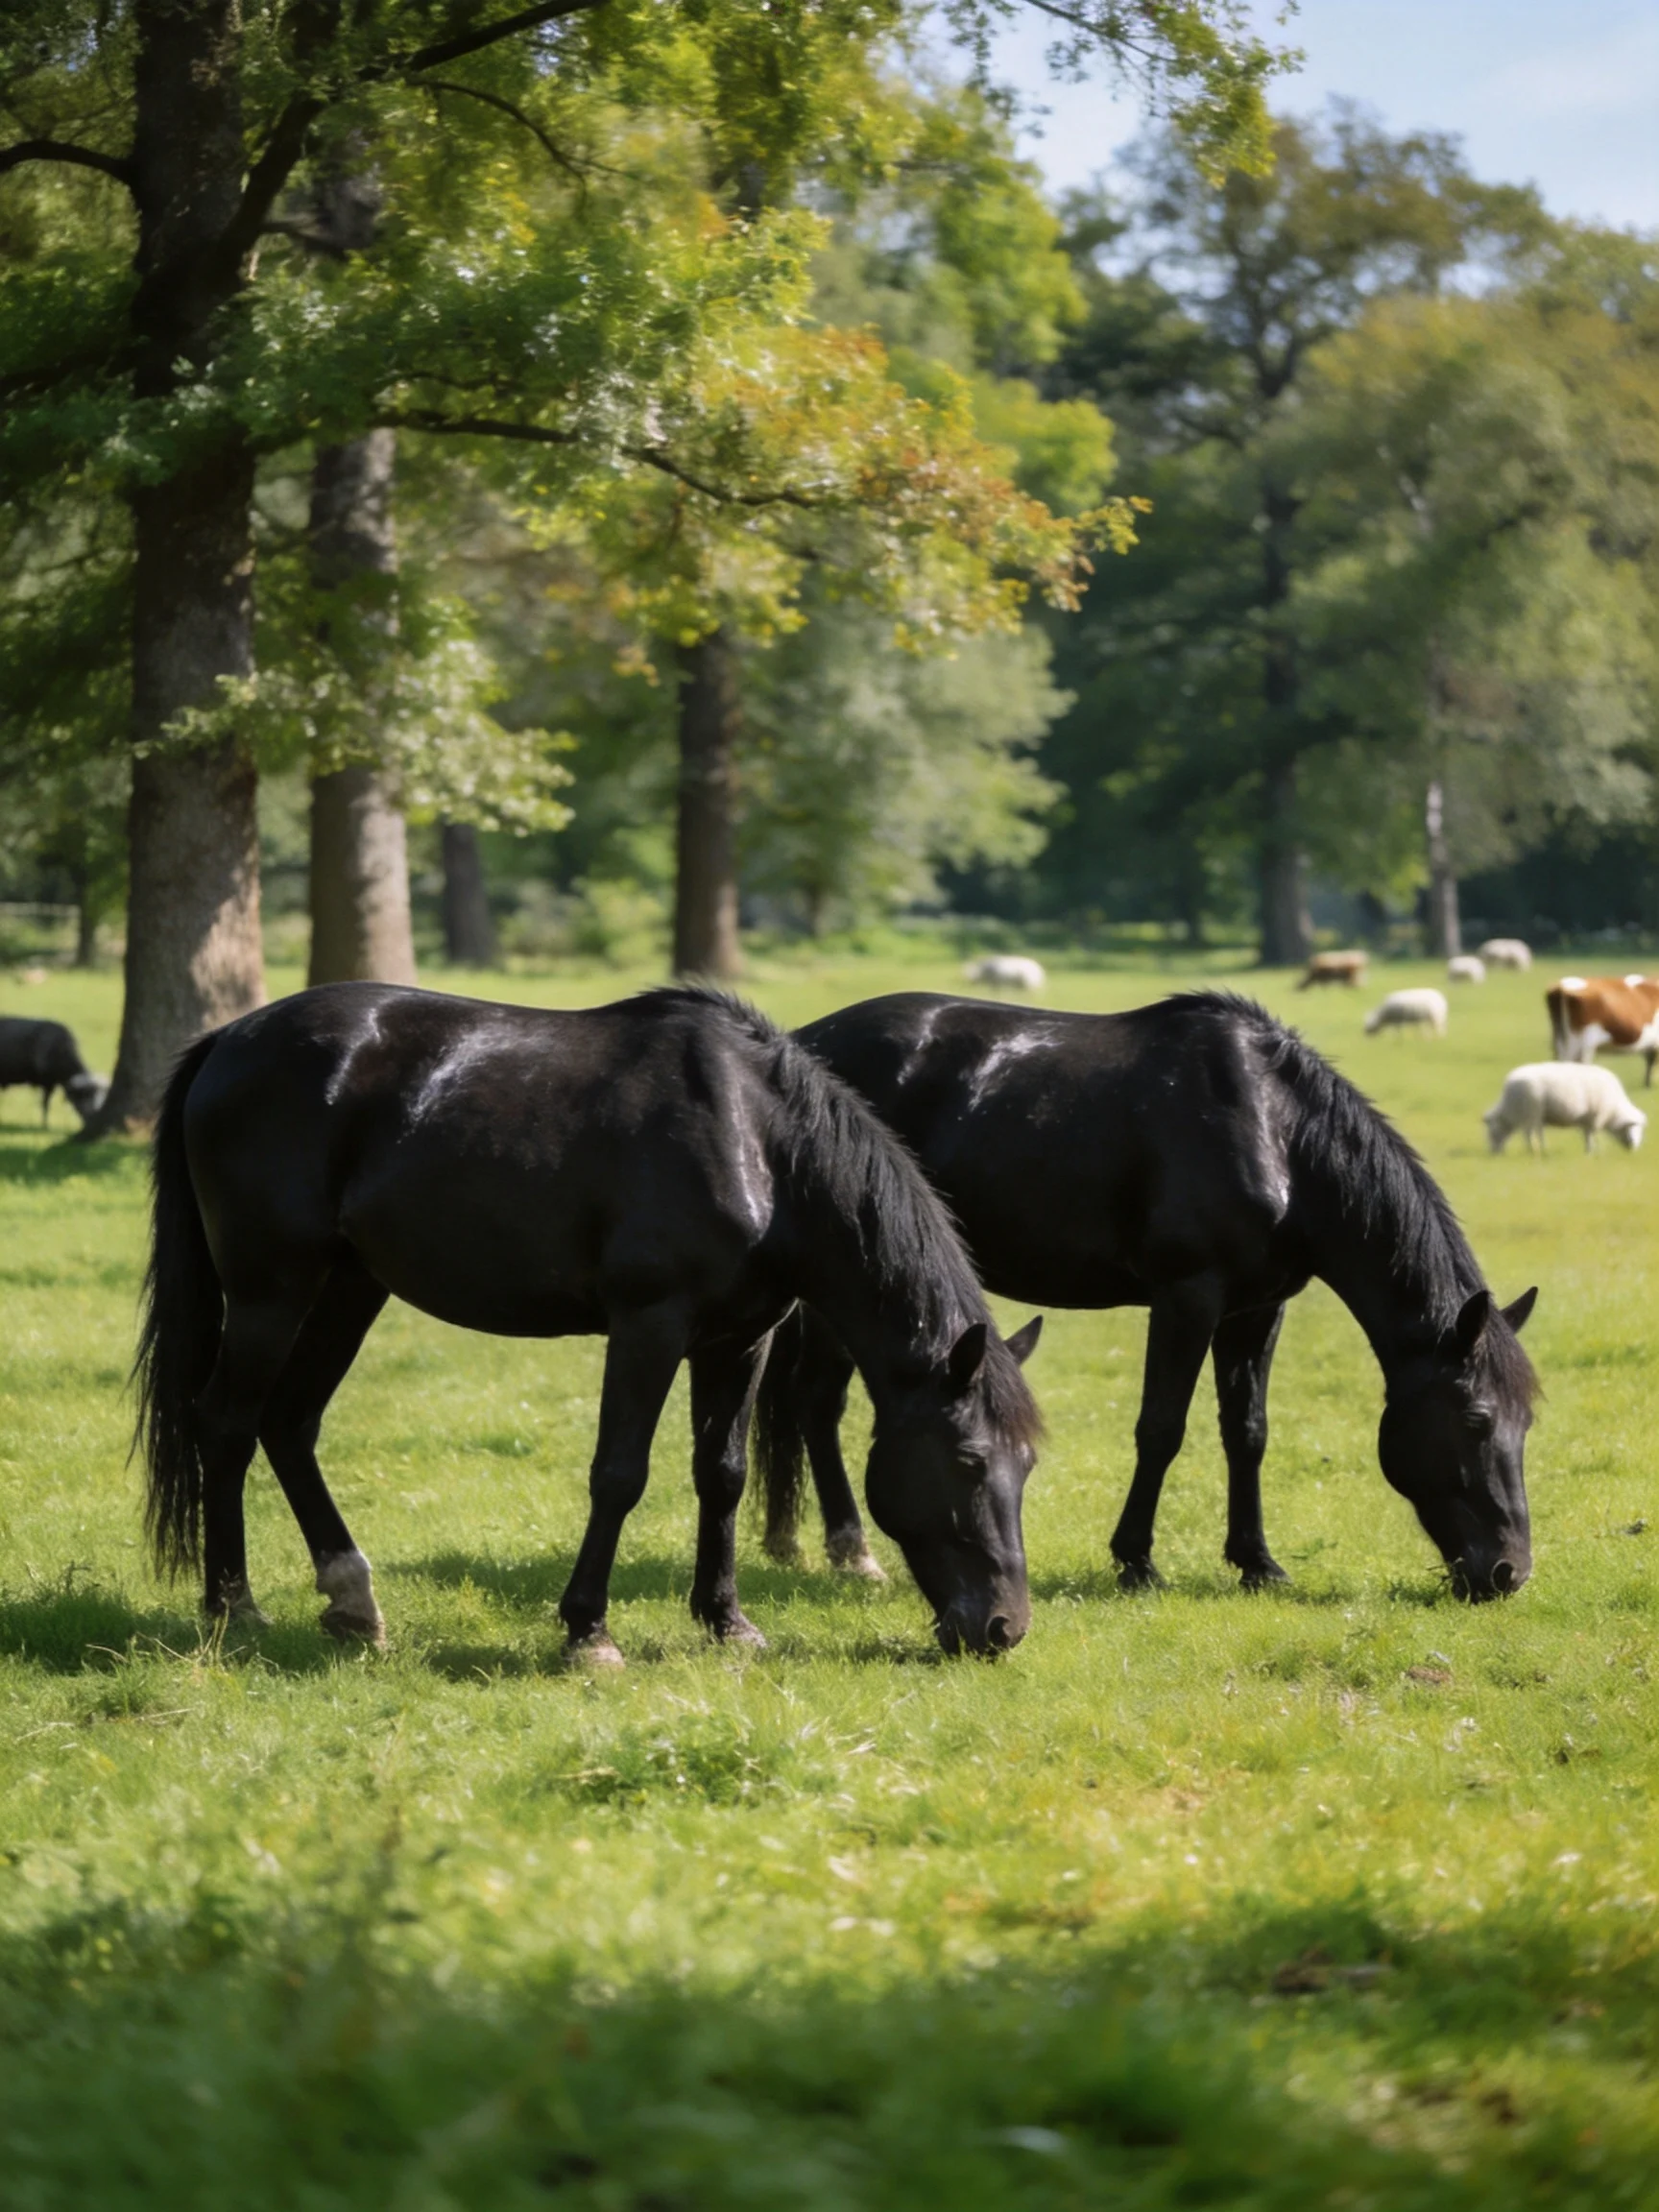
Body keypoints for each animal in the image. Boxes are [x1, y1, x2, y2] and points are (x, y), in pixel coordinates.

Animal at [135, 984, 1043, 1663]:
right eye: (969, 1461)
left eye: (1026, 1466)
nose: (1003, 1629)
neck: (755, 1142)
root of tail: (229, 1039)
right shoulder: (649, 1328)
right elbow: (620, 1474)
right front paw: (588, 1632)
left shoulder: (739, 1341)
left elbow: (722, 1474)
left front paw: (727, 1622)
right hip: (272, 1292)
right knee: (226, 1424)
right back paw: (233, 1608)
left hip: (348, 1291)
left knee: (289, 1424)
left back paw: (352, 1602)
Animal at [757, 991, 1538, 1601]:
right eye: (1476, 1420)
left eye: (1525, 1423)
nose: (1509, 1572)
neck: (1276, 1131)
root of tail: (803, 1046)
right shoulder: (1187, 1297)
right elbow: (1161, 1428)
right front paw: (1135, 1561)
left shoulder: (1258, 1309)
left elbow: (1247, 1432)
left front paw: (1256, 1562)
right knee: (817, 1402)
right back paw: (850, 1550)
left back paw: (789, 1543)